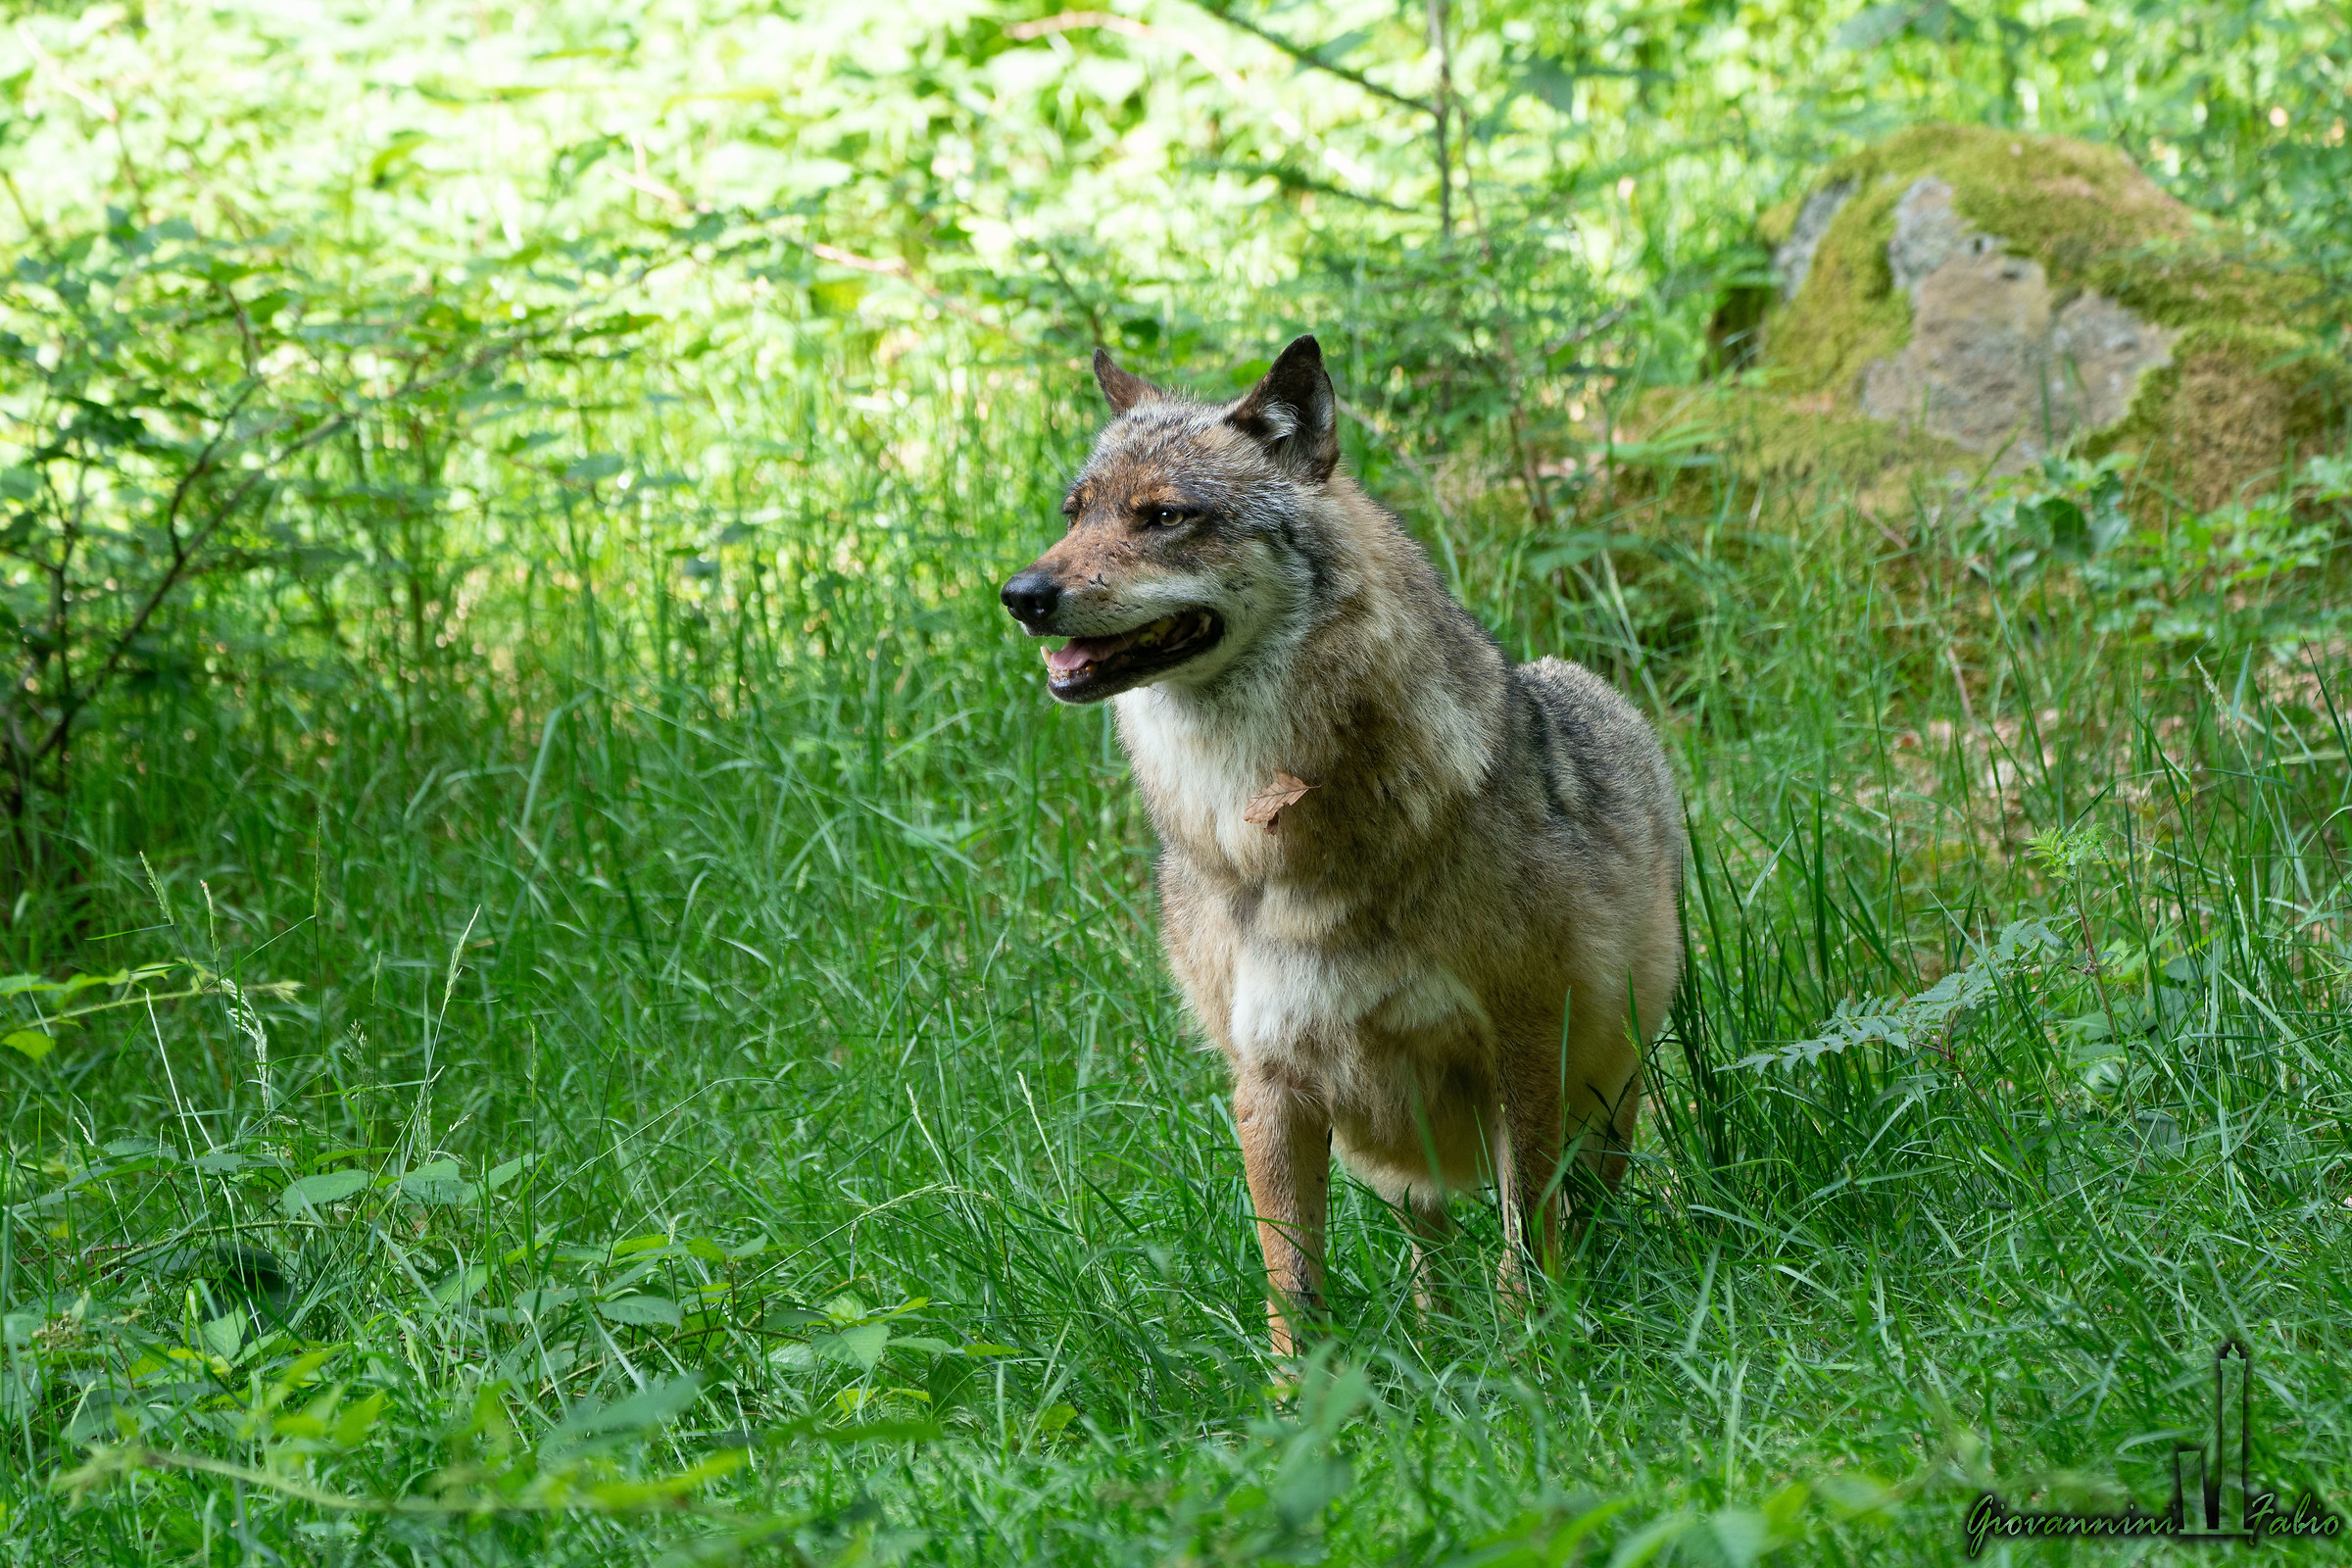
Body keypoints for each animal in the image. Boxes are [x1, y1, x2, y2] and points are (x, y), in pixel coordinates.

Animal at [1000, 336, 1684, 1353]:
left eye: (1164, 516)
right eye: (1074, 515)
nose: (1022, 596)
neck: (1277, 837)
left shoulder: (1521, 1048)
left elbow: (1526, 1243)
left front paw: (1532, 1357)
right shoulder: (1269, 1082)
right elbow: (1293, 1286)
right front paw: (1302, 1392)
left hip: (1602, 1087)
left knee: (1584, 1206)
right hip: (1400, 1142)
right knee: (1429, 1245)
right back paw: (1437, 1336)